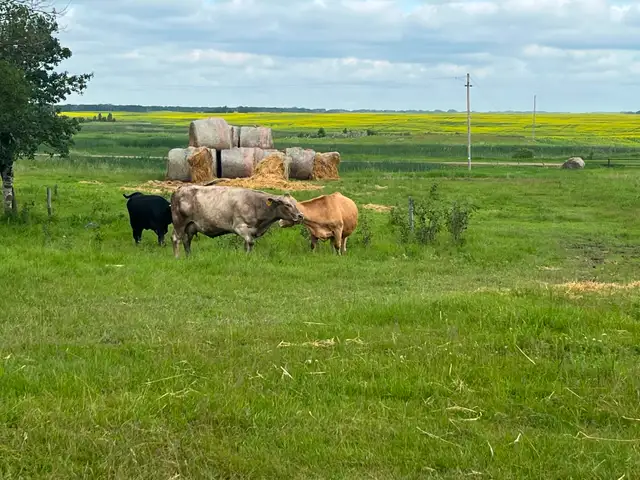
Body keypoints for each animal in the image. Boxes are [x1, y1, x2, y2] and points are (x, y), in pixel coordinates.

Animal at [170, 185, 304, 257]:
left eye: (295, 202)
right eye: (287, 204)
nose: (300, 215)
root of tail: (180, 189)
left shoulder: (251, 231)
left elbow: (247, 244)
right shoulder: (240, 227)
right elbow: (250, 242)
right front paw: (248, 256)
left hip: (191, 226)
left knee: (186, 241)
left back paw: (189, 257)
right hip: (179, 223)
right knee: (176, 239)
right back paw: (177, 257)